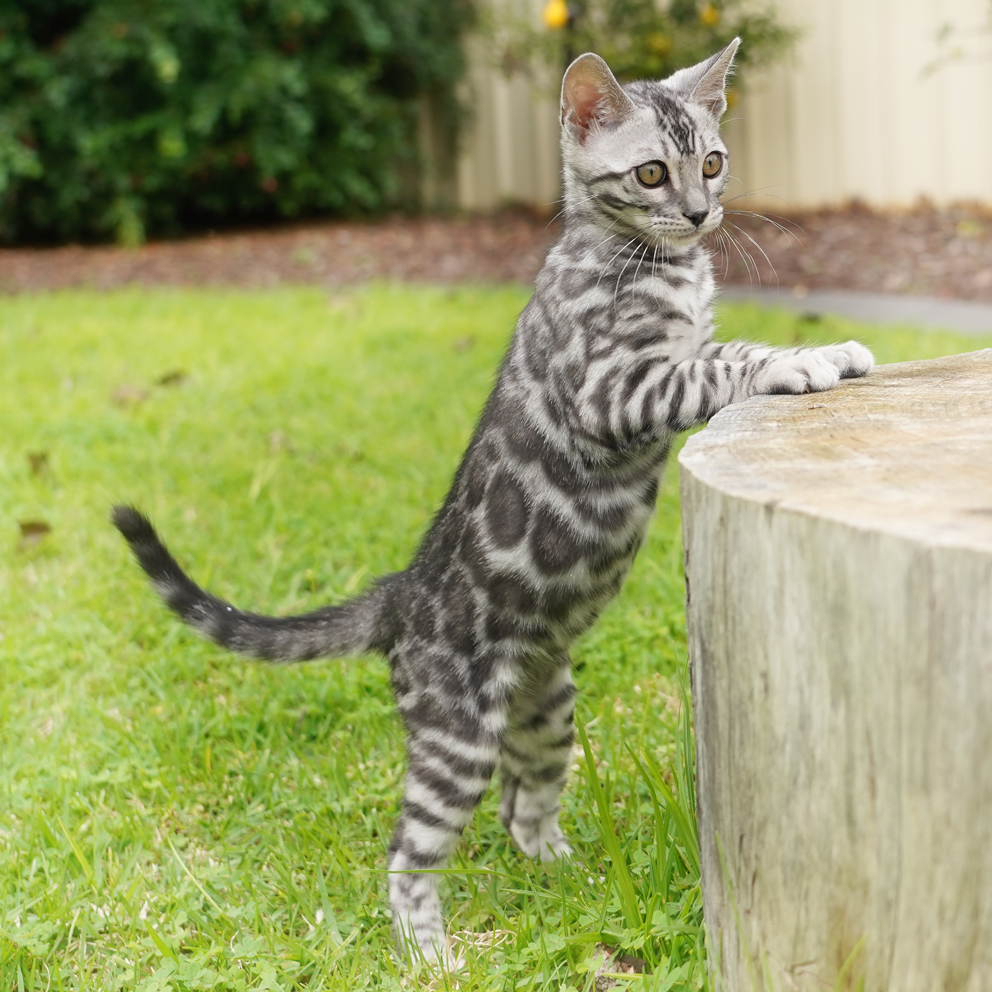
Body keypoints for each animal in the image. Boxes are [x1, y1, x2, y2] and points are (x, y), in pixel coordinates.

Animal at [116, 40, 872, 968]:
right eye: (652, 173)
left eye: (713, 162)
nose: (700, 215)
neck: (638, 257)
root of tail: (399, 593)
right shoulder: (616, 388)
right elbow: (718, 364)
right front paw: (801, 359)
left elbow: (718, 348)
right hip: (457, 737)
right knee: (408, 853)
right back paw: (430, 953)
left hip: (546, 711)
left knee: (523, 808)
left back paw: (569, 875)